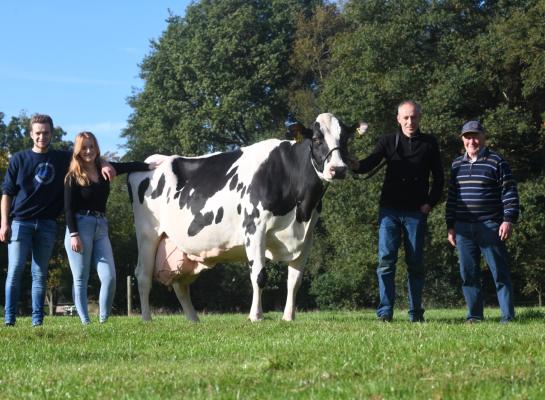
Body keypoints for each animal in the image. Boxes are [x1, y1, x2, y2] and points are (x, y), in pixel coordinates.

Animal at [128, 112, 366, 322]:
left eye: (345, 139)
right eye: (316, 139)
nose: (338, 169)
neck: (301, 208)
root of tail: (153, 160)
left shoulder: (307, 237)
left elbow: (294, 280)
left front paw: (288, 317)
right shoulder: (255, 228)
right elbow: (259, 275)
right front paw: (256, 316)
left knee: (180, 284)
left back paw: (193, 320)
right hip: (147, 233)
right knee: (143, 275)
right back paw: (147, 319)